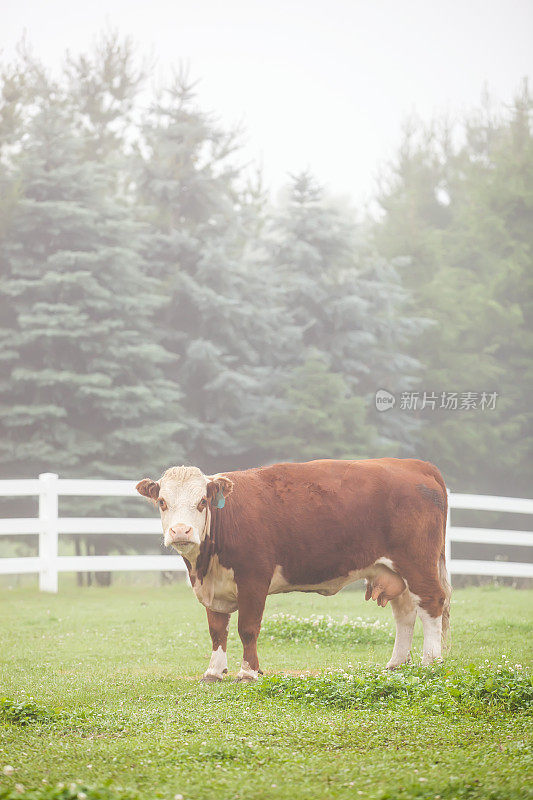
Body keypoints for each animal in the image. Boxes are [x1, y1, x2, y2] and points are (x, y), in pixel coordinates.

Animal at [136, 456, 448, 680]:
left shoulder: (254, 580)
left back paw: (431, 662)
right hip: (394, 571)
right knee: (405, 613)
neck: (205, 566)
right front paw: (214, 671)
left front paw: (248, 672)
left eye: (202, 502)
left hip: (417, 562)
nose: (181, 531)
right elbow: (217, 630)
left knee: (431, 604)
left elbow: (247, 628)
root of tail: (415, 464)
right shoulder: (213, 587)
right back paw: (397, 664)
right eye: (162, 502)